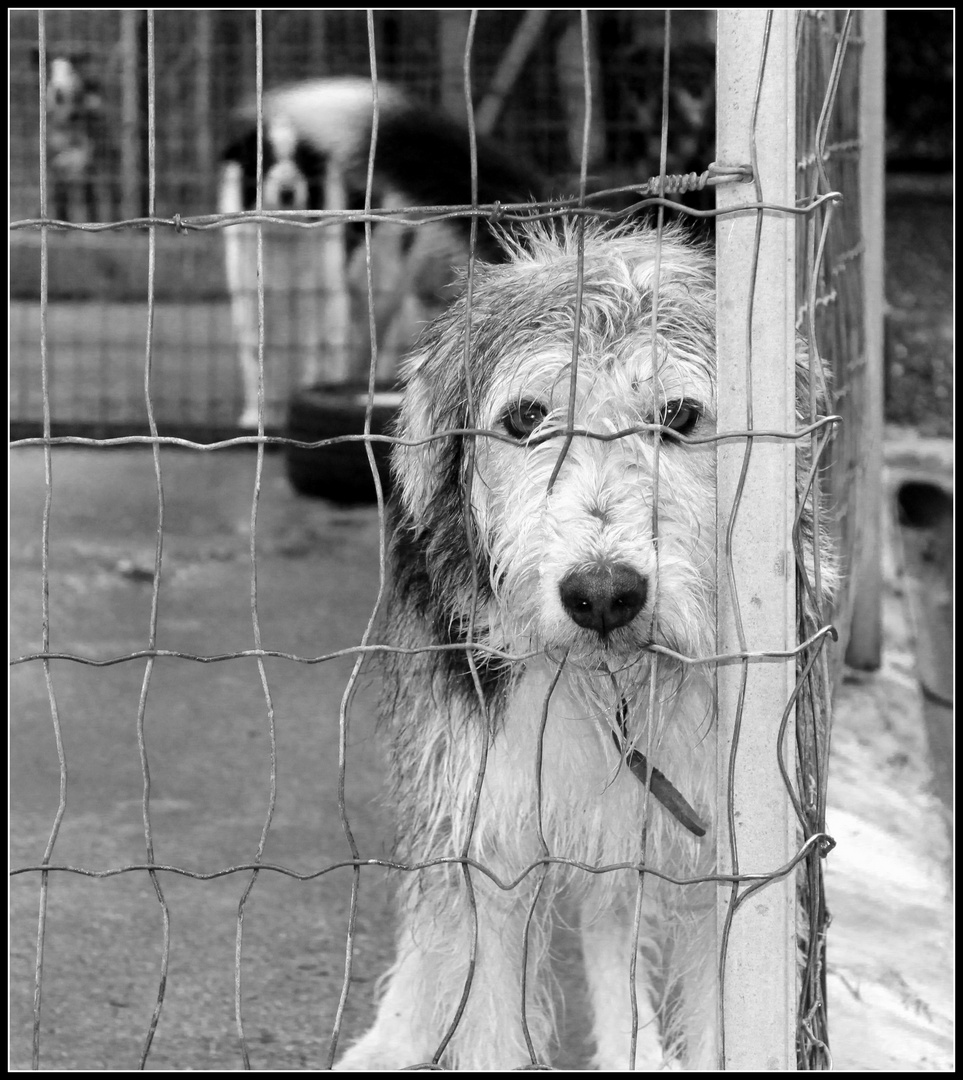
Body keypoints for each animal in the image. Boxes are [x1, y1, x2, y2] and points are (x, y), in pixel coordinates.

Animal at [218, 77, 541, 425]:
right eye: (263, 163)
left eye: (306, 165)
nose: (288, 190)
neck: (283, 236)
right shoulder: (252, 299)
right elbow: (258, 359)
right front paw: (260, 415)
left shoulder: (323, 302)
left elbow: (315, 357)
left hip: (379, 286)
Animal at [334, 221, 833, 1071]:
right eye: (524, 417)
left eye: (678, 415)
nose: (602, 595)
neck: (611, 684)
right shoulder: (485, 832)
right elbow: (482, 1006)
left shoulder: (728, 860)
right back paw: (395, 1034)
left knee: (611, 919)